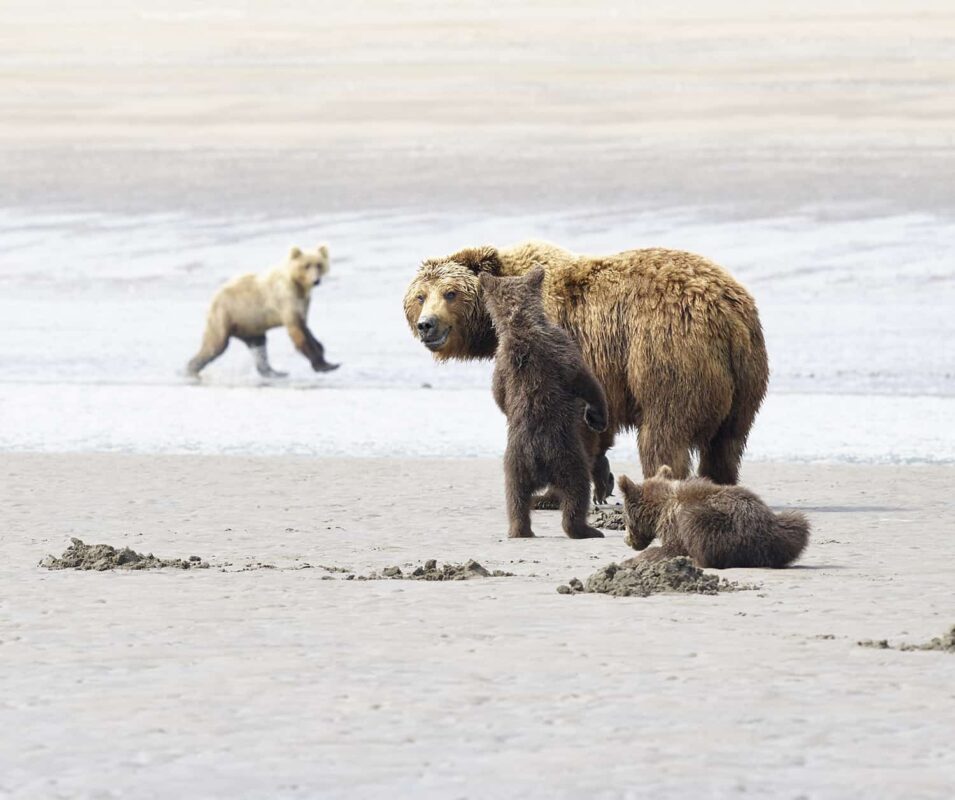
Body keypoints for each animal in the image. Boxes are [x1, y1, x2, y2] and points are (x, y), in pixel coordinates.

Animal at [187, 245, 339, 377]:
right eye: (306, 265)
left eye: (319, 264)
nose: (316, 280)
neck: (298, 285)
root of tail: (214, 298)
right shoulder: (286, 299)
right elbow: (298, 331)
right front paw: (323, 365)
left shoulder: (303, 303)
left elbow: (306, 329)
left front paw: (327, 359)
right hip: (226, 315)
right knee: (215, 345)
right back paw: (190, 369)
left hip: (249, 324)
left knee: (259, 344)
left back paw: (274, 372)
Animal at [403, 241, 768, 499]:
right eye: (420, 296)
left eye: (450, 293)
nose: (427, 325)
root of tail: (727, 312)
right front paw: (600, 478)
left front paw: (550, 493)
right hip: (746, 376)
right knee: (727, 444)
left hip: (667, 355)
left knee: (665, 433)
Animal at [480, 266, 608, 539]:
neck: (521, 325)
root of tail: (538, 461)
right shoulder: (562, 347)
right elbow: (587, 381)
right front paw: (597, 417)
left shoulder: (501, 363)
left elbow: (500, 394)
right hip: (567, 458)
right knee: (576, 492)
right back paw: (586, 529)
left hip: (514, 465)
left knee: (515, 499)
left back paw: (519, 530)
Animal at [617, 466, 810, 568]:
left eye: (625, 518)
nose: (627, 540)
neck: (660, 511)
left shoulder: (675, 525)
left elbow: (669, 549)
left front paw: (628, 561)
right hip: (784, 528)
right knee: (798, 523)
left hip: (722, 524)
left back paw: (695, 560)